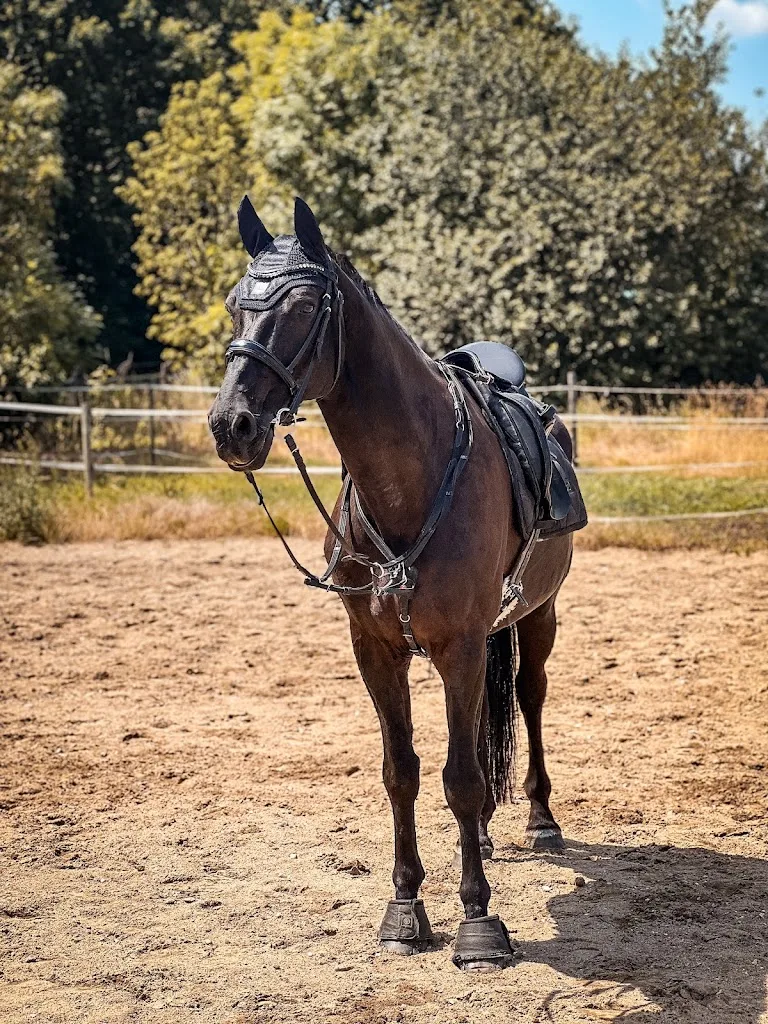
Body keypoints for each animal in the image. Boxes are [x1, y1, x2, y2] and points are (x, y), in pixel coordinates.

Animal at [208, 196, 574, 971]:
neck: (412, 475)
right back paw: (488, 833)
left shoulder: (460, 645)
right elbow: (402, 770)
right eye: (234, 303)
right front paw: (405, 910)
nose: (232, 425)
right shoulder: (375, 650)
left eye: (304, 304)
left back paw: (540, 819)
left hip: (539, 615)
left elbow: (460, 778)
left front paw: (478, 923)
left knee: (528, 698)